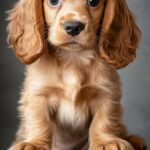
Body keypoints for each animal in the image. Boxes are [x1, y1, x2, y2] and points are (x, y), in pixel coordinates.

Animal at [6, 0, 145, 150]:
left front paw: (105, 141)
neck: (73, 58)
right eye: (53, 1)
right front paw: (35, 143)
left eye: (93, 2)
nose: (73, 27)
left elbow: (104, 119)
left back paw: (135, 140)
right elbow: (39, 120)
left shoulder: (106, 92)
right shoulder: (38, 94)